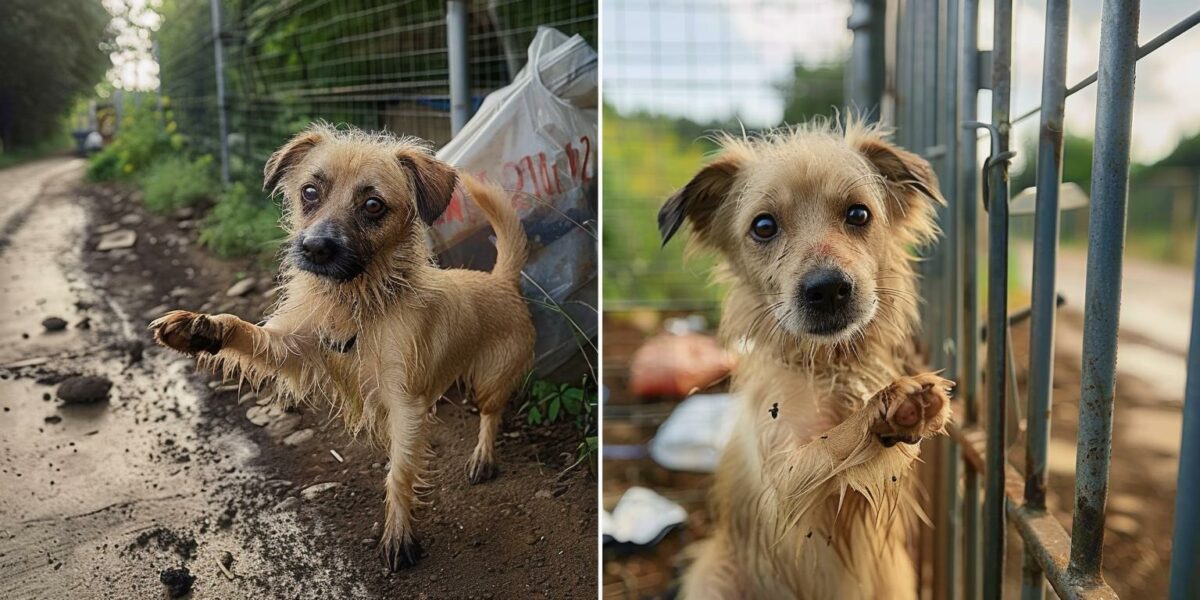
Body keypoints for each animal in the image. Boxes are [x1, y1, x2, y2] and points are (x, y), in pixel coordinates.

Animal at [151, 124, 535, 568]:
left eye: (373, 205)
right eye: (309, 192)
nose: (315, 247)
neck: (358, 304)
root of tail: (502, 281)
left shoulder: (406, 405)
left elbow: (399, 473)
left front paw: (398, 533)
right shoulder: (291, 347)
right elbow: (247, 331)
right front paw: (202, 327)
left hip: (490, 380)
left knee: (491, 415)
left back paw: (483, 457)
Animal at [657, 119, 955, 597]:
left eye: (859, 214)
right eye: (763, 226)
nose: (828, 289)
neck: (830, 368)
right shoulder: (784, 486)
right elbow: (831, 445)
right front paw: (887, 409)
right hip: (713, 577)